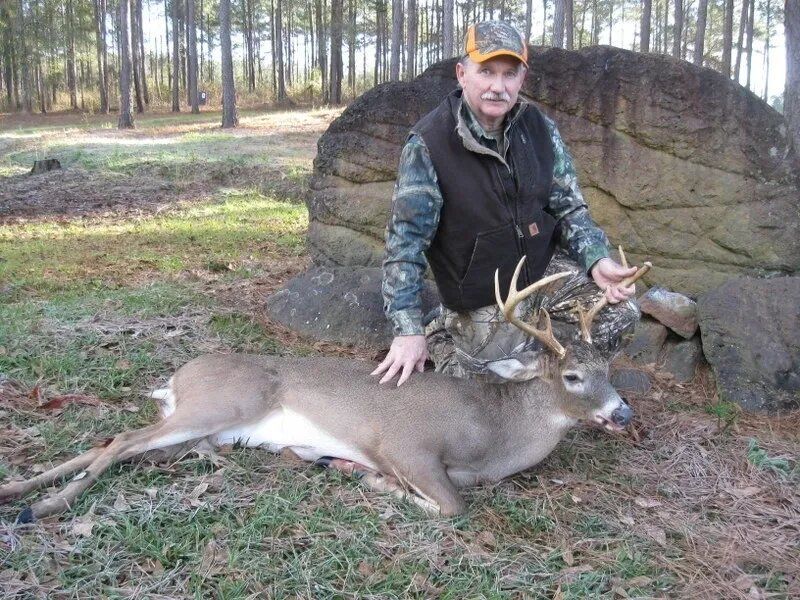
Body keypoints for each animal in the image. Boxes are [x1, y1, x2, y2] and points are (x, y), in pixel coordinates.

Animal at [0, 255, 650, 521]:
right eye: (572, 376)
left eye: (609, 370)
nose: (622, 414)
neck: (494, 434)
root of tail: (180, 376)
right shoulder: (405, 443)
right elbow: (451, 506)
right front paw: (363, 476)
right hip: (223, 401)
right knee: (119, 442)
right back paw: (44, 507)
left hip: (194, 431)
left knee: (112, 443)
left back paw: (17, 491)